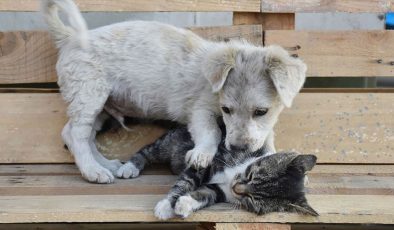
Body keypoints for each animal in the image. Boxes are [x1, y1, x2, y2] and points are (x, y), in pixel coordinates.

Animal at [41, 0, 306, 183]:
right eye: (226, 109)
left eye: (261, 111)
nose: (238, 149)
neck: (214, 86)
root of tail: (70, 37)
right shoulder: (199, 111)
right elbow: (211, 133)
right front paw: (201, 154)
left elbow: (267, 137)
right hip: (89, 95)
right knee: (77, 135)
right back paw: (93, 171)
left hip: (102, 105)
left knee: (78, 134)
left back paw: (108, 165)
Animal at [117, 126, 318, 220]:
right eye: (252, 174)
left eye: (253, 200)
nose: (236, 187)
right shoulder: (204, 162)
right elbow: (184, 182)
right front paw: (166, 205)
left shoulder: (221, 191)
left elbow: (207, 194)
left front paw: (185, 204)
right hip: (169, 144)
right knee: (148, 151)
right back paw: (129, 167)